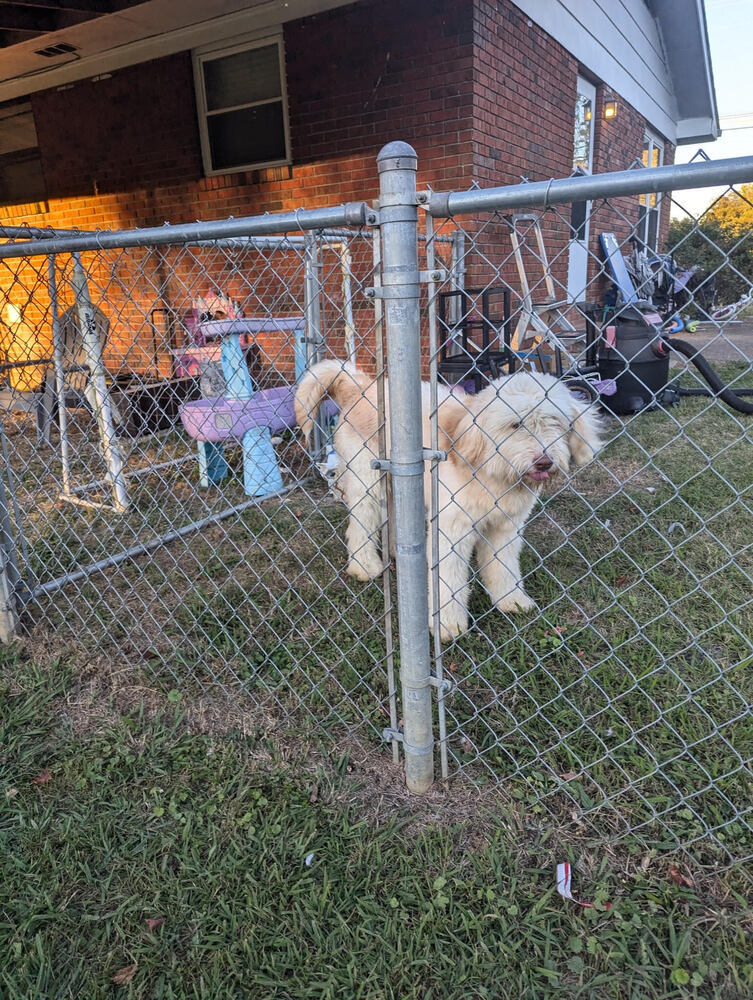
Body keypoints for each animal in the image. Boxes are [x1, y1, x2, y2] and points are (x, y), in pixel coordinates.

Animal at [296, 364, 604, 644]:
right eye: (516, 424)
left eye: (556, 422)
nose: (544, 462)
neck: (493, 470)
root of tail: (360, 385)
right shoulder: (452, 530)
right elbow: (449, 579)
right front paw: (447, 626)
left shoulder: (506, 528)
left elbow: (503, 566)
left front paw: (511, 600)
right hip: (368, 483)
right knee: (360, 524)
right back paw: (364, 567)